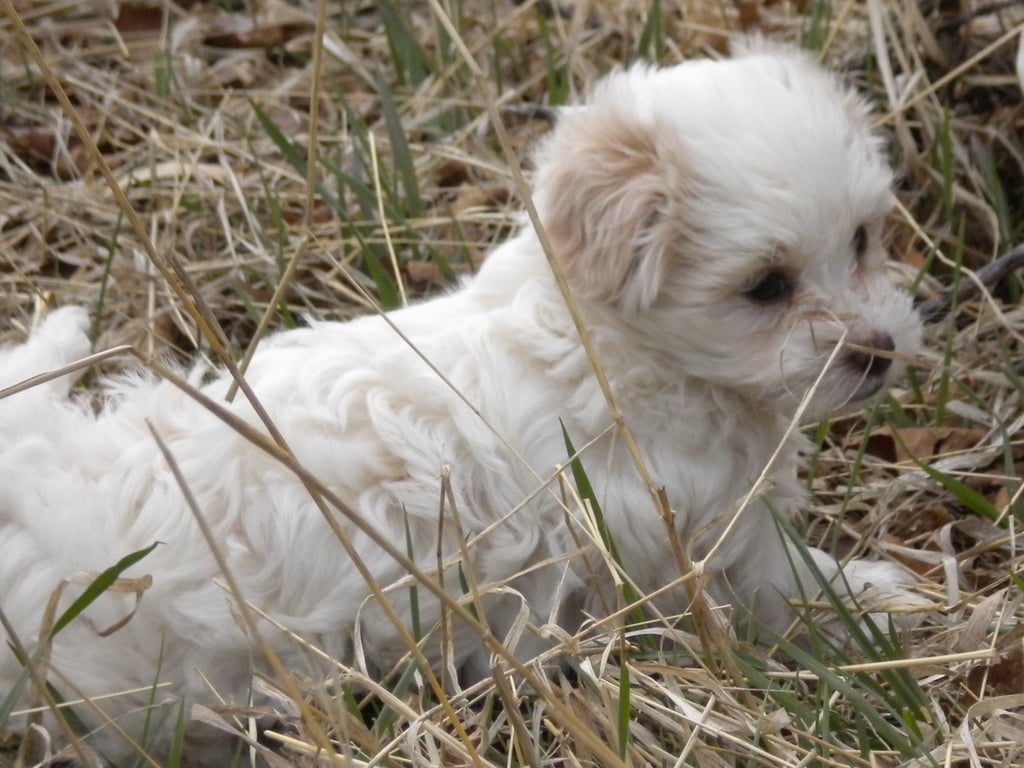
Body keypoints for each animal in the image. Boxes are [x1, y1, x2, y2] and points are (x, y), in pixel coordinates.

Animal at [0, 45, 925, 765]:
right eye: (766, 287)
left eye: (862, 240)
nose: (878, 351)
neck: (616, 344)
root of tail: (47, 500)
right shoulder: (694, 539)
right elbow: (789, 587)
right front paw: (885, 603)